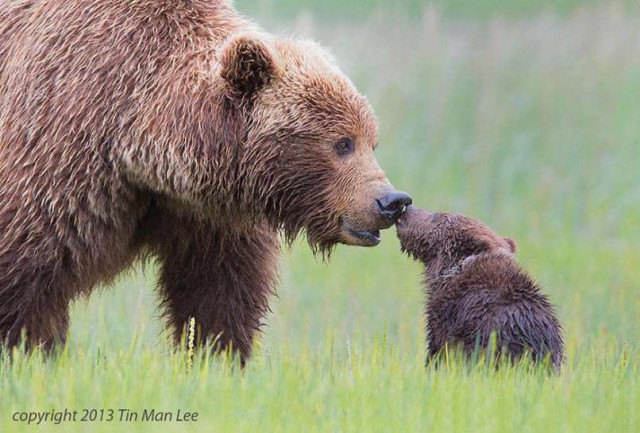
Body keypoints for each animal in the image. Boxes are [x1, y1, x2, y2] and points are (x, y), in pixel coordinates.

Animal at [0, 0, 410, 362]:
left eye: (371, 141)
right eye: (342, 143)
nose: (392, 201)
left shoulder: (207, 214)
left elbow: (218, 290)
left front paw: (216, 357)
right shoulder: (61, 150)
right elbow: (26, 273)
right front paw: (29, 351)